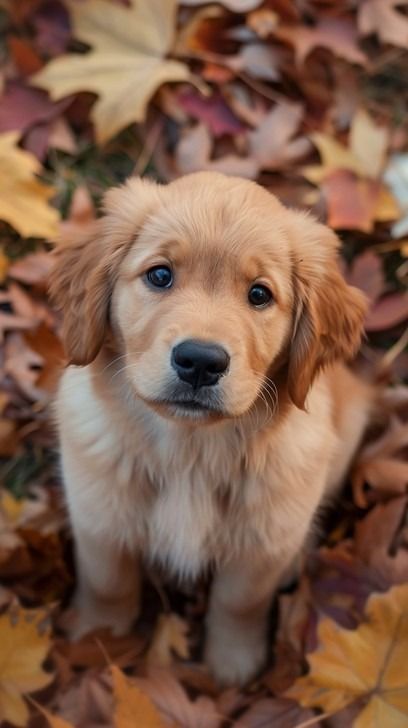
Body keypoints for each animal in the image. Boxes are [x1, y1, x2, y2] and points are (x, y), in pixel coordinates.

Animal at [51, 173, 372, 684]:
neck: (191, 450)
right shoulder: (98, 515)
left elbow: (239, 603)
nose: (200, 361)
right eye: (160, 275)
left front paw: (232, 663)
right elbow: (107, 582)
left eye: (259, 294)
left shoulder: (261, 545)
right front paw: (101, 636)